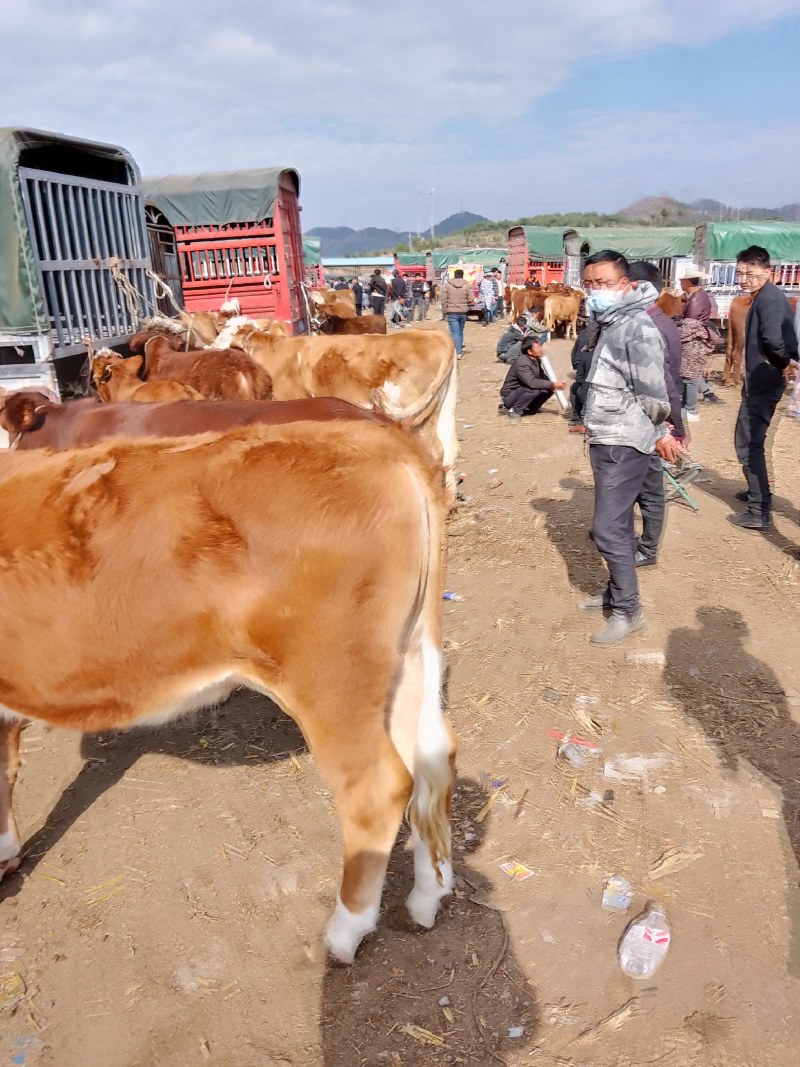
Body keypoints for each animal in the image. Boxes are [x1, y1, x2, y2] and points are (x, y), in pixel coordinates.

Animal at [0, 420, 456, 964]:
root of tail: (374, 437)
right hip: (409, 658)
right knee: (433, 760)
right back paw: (428, 897)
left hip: (331, 678)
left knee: (377, 790)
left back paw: (346, 932)